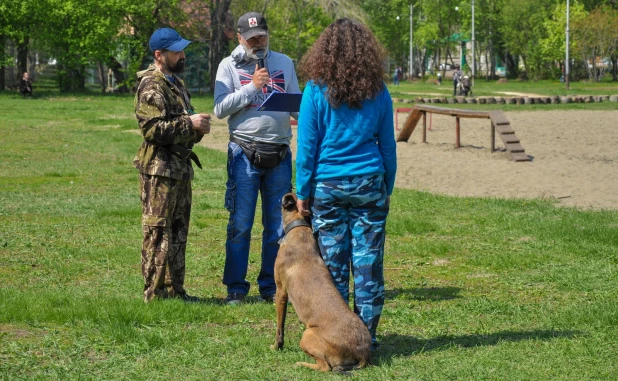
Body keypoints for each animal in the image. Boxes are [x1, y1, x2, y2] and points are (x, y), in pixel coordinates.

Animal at [270, 193, 370, 372]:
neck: (300, 229)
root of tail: (362, 354)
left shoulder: (280, 291)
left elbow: (280, 328)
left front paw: (277, 347)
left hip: (307, 335)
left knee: (325, 367)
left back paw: (301, 364)